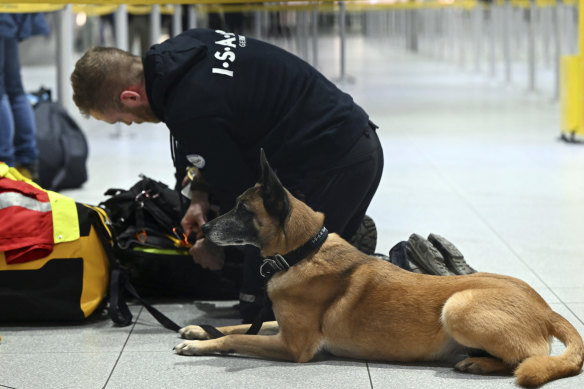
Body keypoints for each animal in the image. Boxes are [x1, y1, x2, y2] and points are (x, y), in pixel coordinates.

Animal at [175, 150, 584, 386]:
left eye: (243, 209)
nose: (202, 230)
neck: (302, 251)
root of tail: (546, 309)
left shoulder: (293, 346)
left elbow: (236, 338)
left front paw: (198, 345)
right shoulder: (282, 326)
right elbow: (239, 326)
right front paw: (198, 329)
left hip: (458, 306)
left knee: (529, 358)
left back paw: (479, 365)